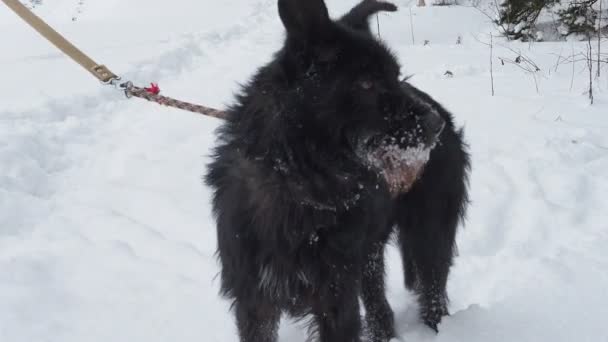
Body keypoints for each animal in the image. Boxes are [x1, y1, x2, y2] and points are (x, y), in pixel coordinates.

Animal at [205, 0, 470, 342]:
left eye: (395, 75)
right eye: (366, 83)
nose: (436, 125)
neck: (297, 184)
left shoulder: (335, 299)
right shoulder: (254, 302)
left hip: (428, 234)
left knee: (433, 291)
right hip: (370, 254)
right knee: (380, 307)